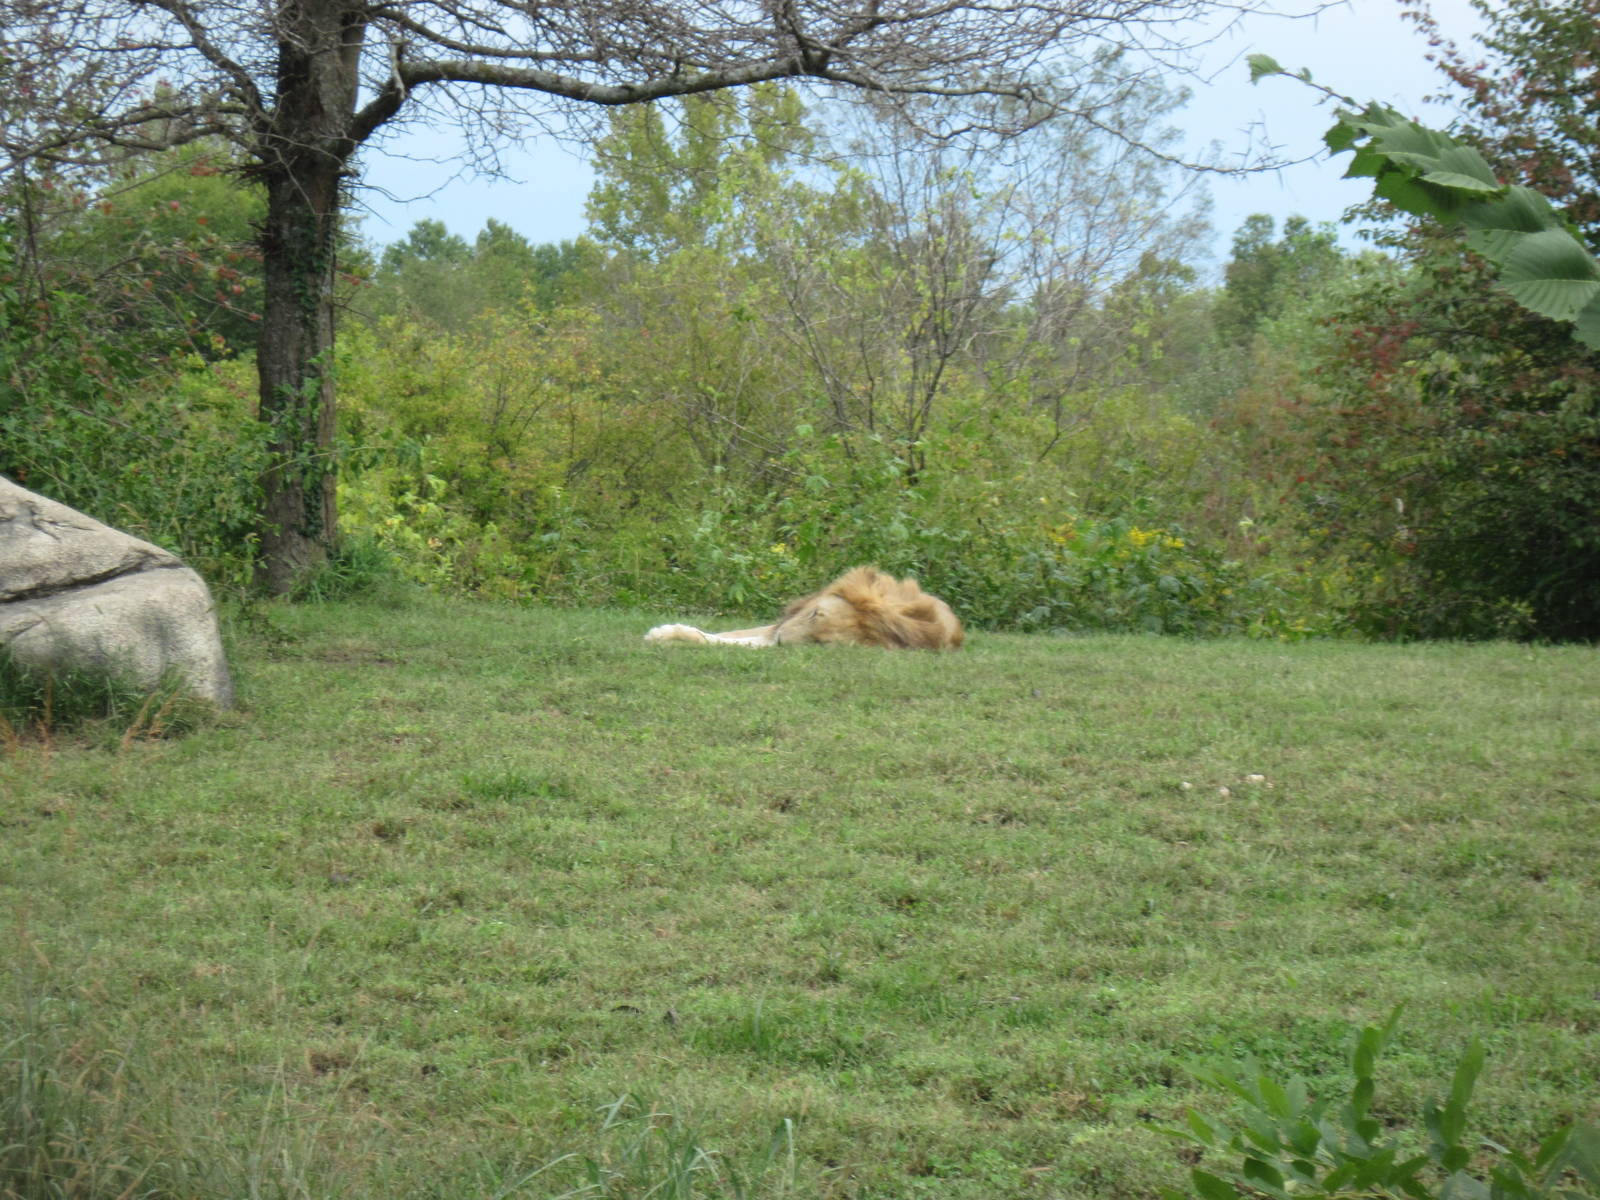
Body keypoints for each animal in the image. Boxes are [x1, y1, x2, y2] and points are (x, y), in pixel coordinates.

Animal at [645, 566, 964, 650]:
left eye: (819, 642)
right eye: (814, 614)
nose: (782, 642)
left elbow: (719, 640)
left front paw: (668, 637)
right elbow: (727, 633)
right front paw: (667, 631)